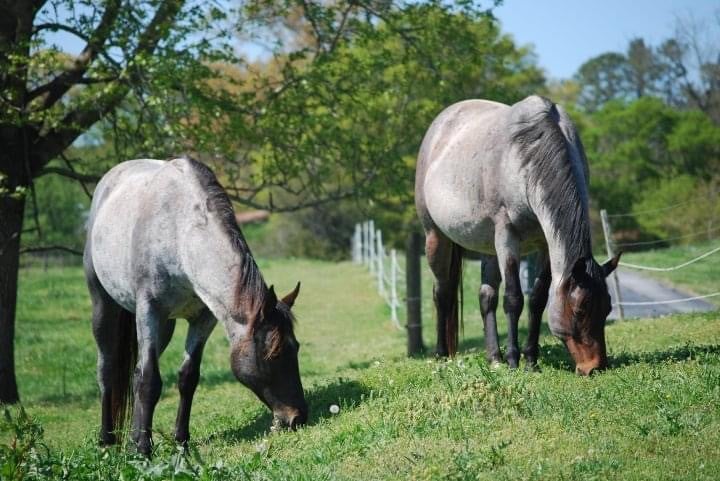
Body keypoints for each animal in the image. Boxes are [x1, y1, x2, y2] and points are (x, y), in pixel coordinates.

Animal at [84, 158, 306, 454]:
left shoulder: (203, 318)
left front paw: (181, 440)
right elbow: (149, 380)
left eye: (296, 348)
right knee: (107, 369)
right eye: (273, 353)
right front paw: (143, 449)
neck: (180, 234)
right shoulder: (149, 311)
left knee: (132, 373)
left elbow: (187, 377)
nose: (298, 417)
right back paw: (107, 439)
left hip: (165, 326)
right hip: (104, 306)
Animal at [416, 94, 620, 376]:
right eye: (580, 310)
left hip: (488, 246)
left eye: (608, 307)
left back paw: (494, 358)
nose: (595, 367)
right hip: (436, 237)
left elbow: (537, 299)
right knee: (442, 292)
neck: (525, 159)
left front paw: (530, 360)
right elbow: (513, 298)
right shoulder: (507, 236)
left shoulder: (545, 242)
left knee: (486, 297)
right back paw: (442, 355)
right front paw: (514, 360)